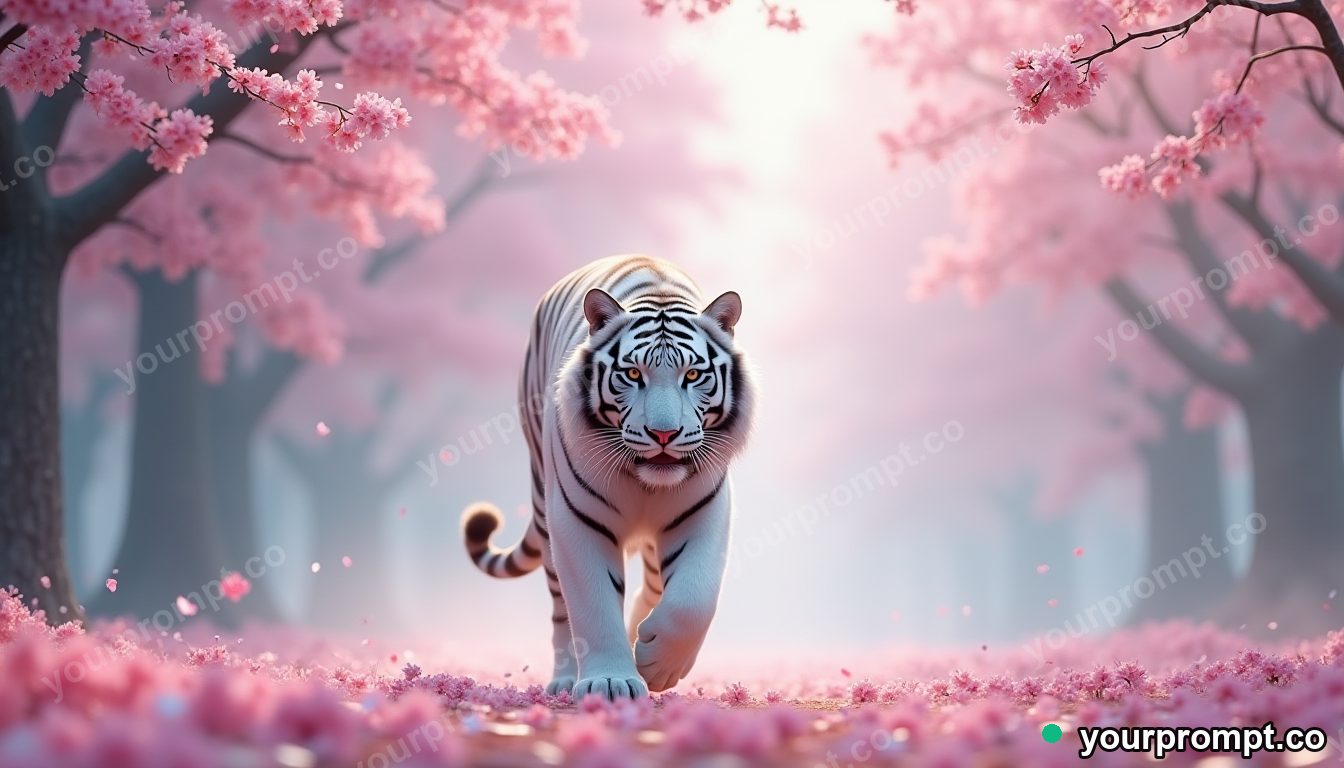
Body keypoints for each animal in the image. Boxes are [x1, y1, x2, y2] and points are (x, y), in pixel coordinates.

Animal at [460, 254, 755, 700]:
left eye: (692, 376)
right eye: (632, 375)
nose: (664, 434)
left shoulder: (706, 511)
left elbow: (693, 598)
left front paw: (657, 663)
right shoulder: (576, 521)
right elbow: (592, 606)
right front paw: (611, 682)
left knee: (655, 585)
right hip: (545, 512)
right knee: (560, 609)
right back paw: (566, 678)